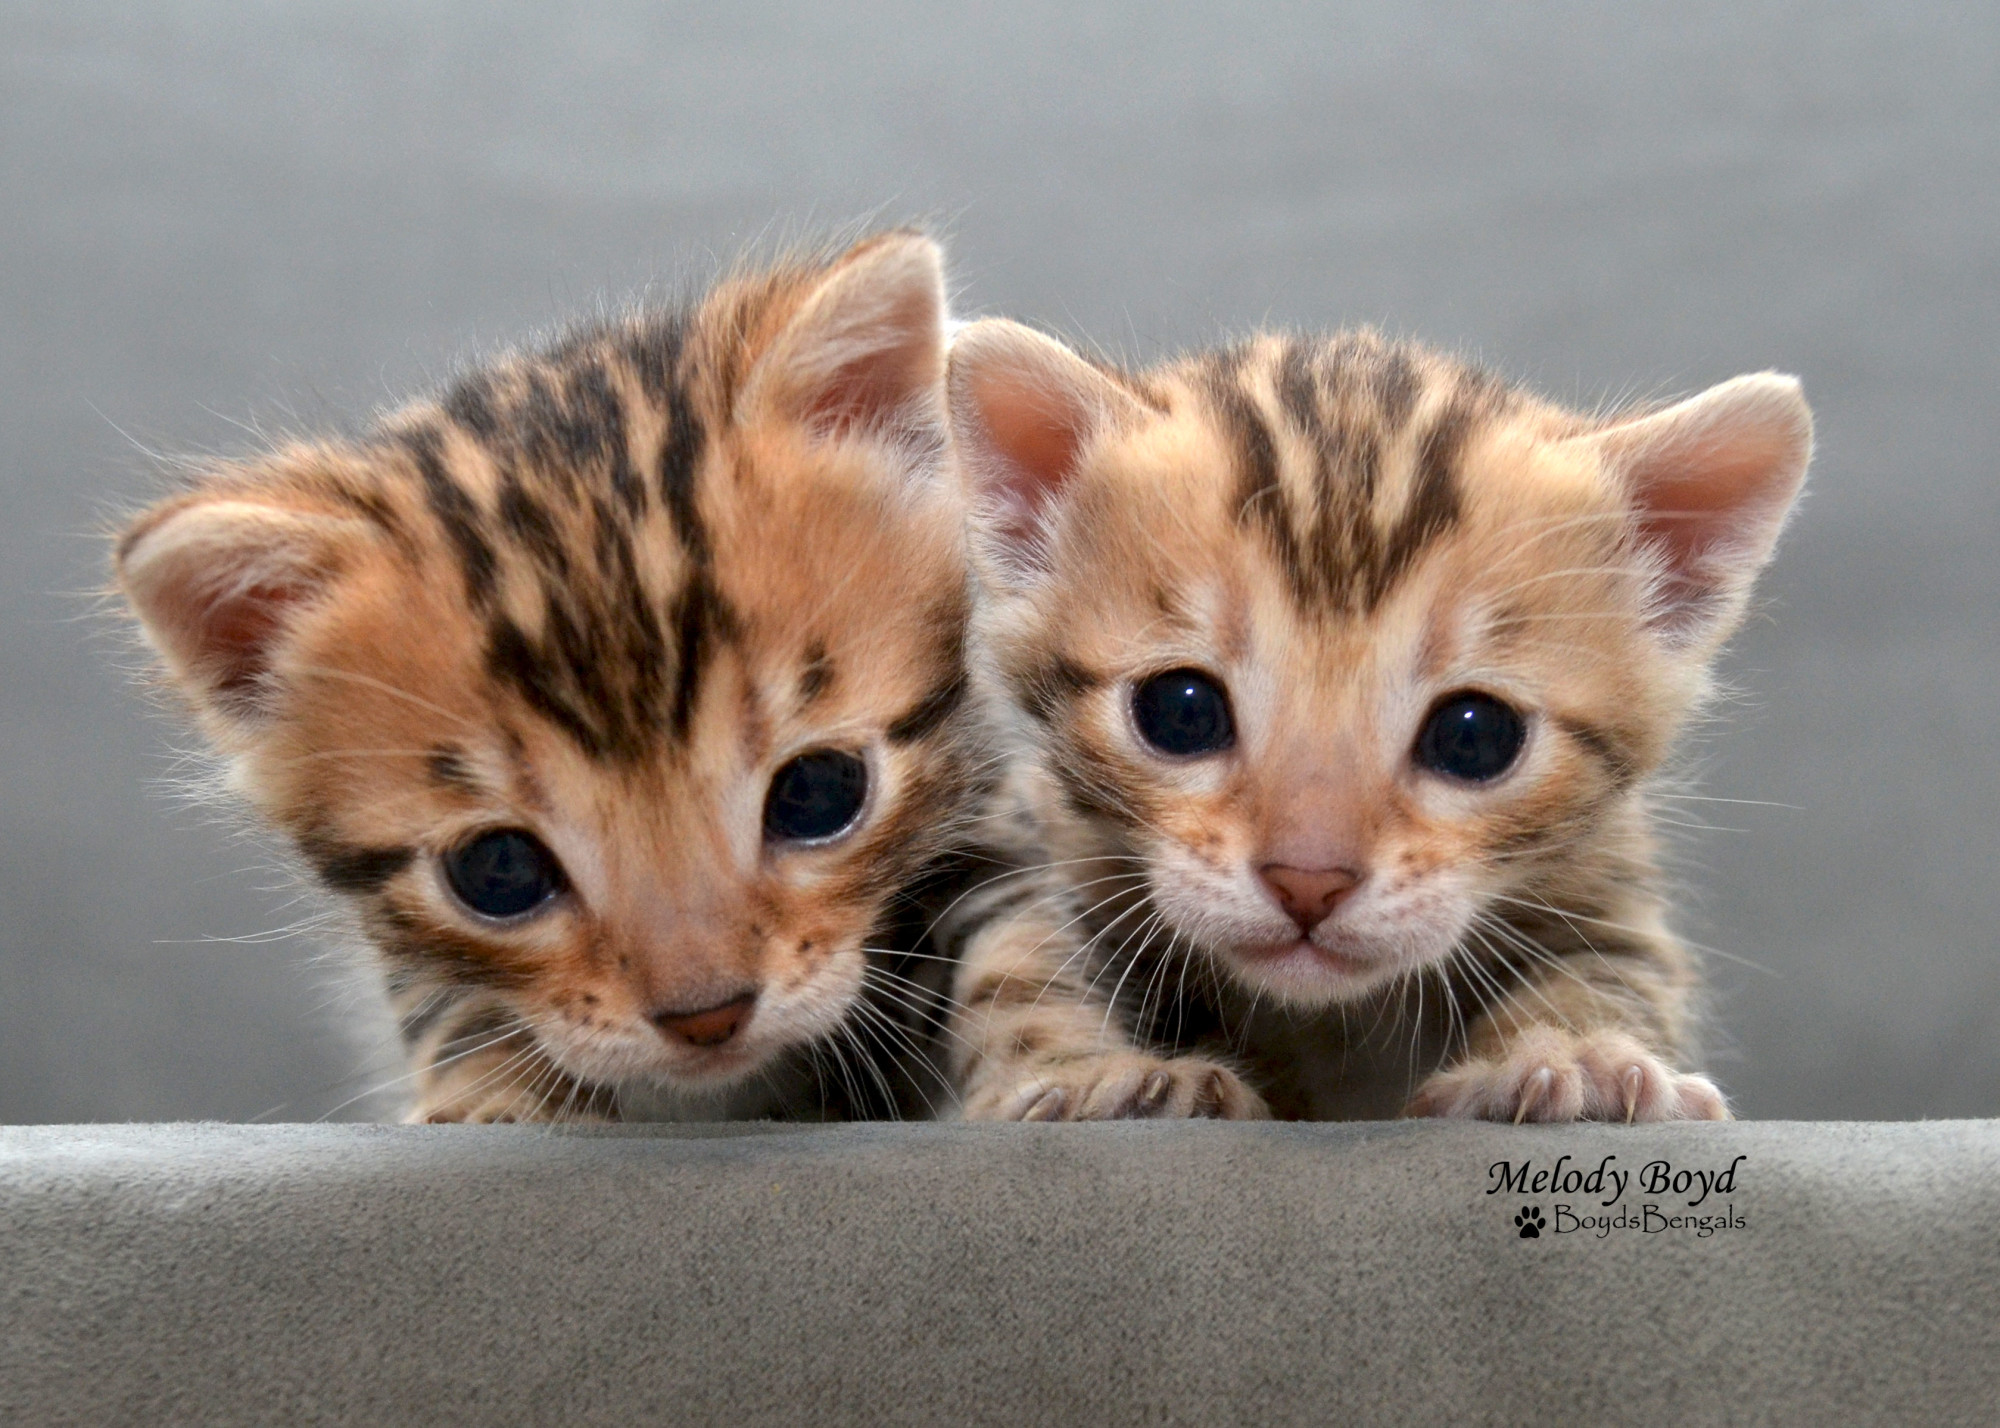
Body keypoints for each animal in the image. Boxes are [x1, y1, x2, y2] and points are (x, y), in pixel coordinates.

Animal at [940, 318, 1816, 1120]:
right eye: (1181, 712)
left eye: (1473, 734)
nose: (1308, 882)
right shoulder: (1040, 838)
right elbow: (1016, 960)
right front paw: (1084, 1073)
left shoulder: (1608, 872)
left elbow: (1620, 966)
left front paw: (1577, 1054)